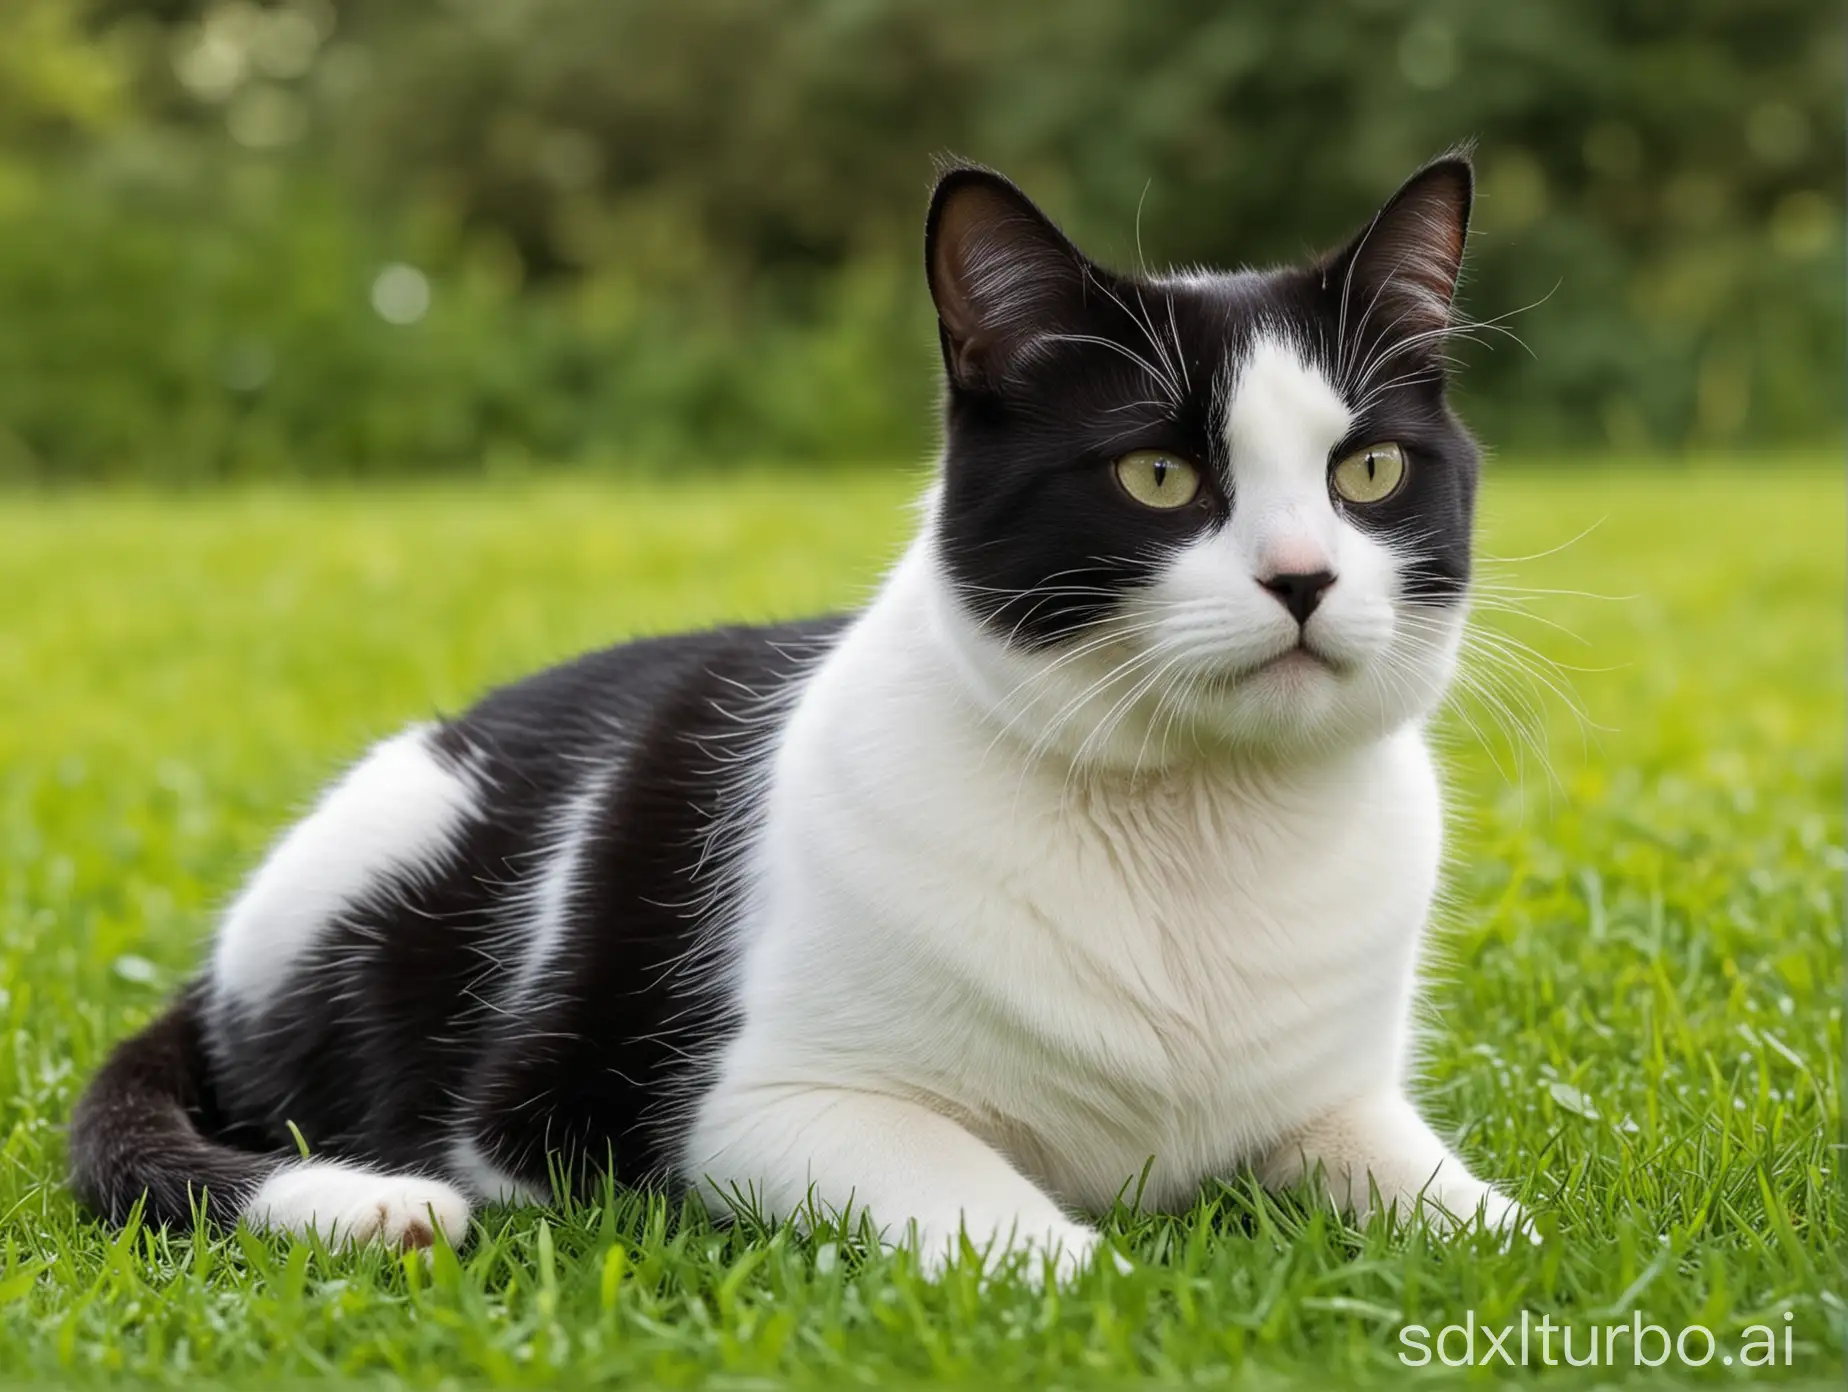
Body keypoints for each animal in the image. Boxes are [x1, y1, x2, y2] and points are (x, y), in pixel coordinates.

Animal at [68, 154, 1530, 1279]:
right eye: (1158, 477)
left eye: (1370, 471)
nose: (1304, 578)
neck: (1199, 821)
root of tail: (214, 974)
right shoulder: (768, 1112)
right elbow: (1014, 1223)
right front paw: (1107, 1287)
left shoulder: (1342, 1103)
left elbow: (1474, 1214)